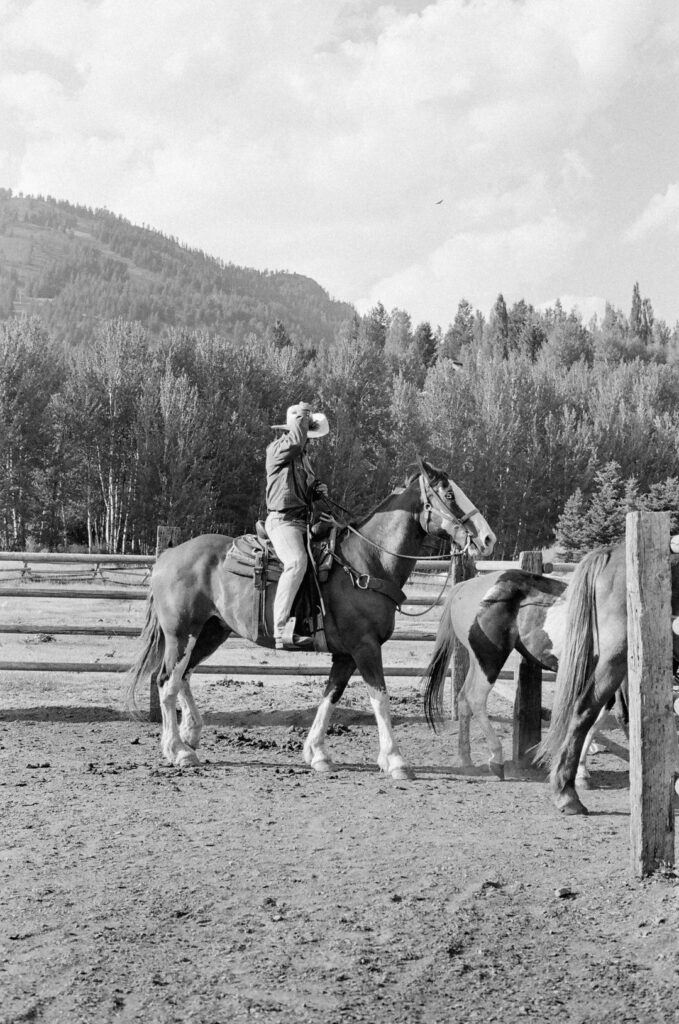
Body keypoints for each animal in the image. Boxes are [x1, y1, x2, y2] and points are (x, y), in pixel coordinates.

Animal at [127, 456, 497, 774]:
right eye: (449, 494)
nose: (488, 537)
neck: (367, 562)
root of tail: (168, 555)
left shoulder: (346, 654)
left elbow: (329, 697)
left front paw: (317, 753)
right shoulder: (365, 647)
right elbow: (380, 698)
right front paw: (394, 760)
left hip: (211, 631)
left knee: (183, 675)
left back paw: (190, 733)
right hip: (181, 633)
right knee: (166, 681)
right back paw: (178, 750)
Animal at [426, 540, 679, 811]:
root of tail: (466, 586)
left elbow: (602, 719)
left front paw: (581, 773)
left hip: (478, 660)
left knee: (463, 698)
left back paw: (467, 759)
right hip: (490, 660)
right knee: (475, 698)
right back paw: (497, 758)